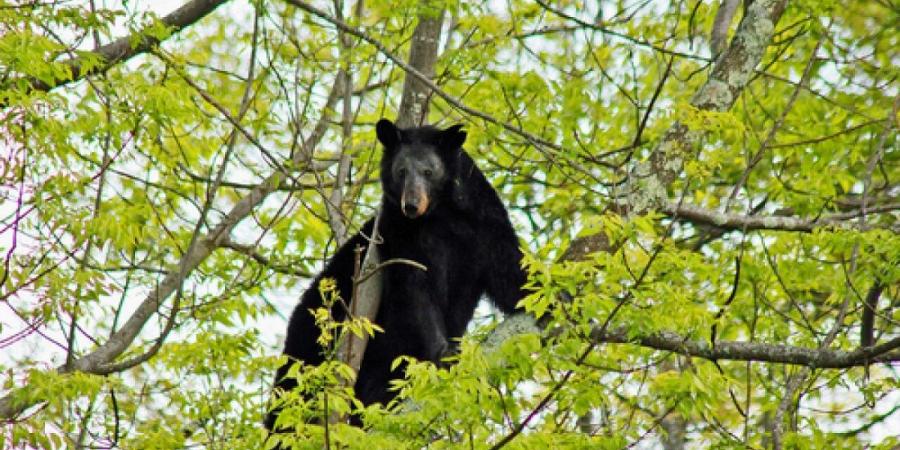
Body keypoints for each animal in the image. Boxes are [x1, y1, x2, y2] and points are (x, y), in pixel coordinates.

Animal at [264, 118, 524, 430]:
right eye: (401, 171)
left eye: (428, 171)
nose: (410, 205)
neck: (440, 214)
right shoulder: (399, 234)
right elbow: (415, 291)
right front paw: (443, 352)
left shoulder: (484, 221)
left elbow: (508, 270)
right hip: (314, 328)